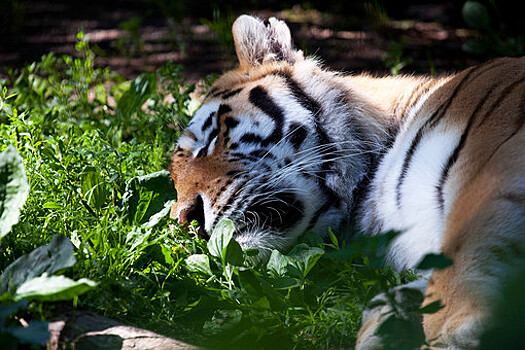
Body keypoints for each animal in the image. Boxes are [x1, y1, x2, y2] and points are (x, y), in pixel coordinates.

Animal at [169, 14, 524, 350]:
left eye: (210, 139)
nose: (186, 220)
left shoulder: (497, 166)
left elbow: (462, 255)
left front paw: (448, 331)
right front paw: (384, 326)